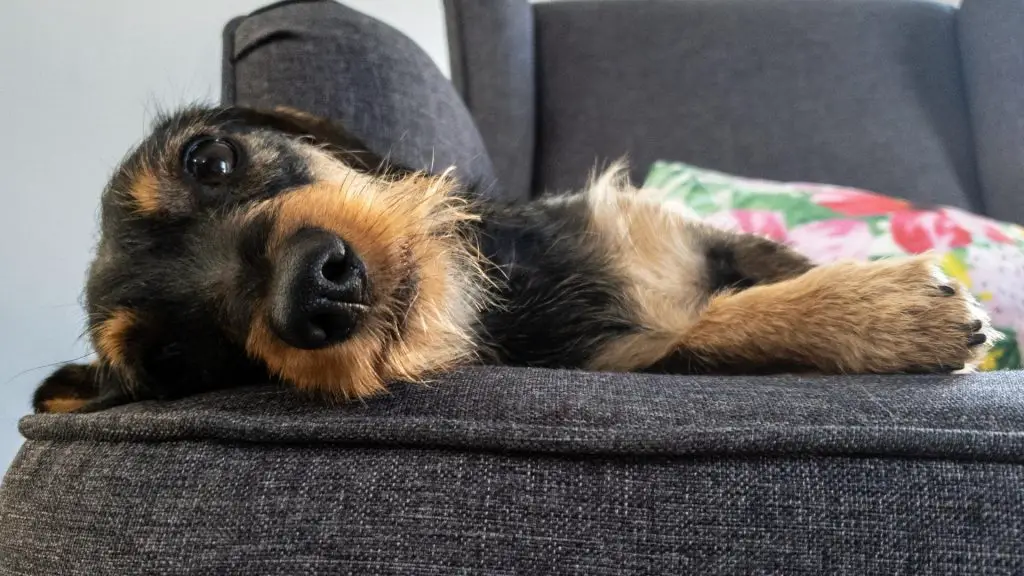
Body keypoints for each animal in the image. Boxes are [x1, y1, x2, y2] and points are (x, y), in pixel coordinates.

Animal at [29, 106, 991, 412]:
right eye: (177, 361)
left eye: (209, 160)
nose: (314, 293)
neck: (507, 289)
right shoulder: (626, 360)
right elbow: (717, 329)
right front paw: (896, 316)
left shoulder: (702, 239)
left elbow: (772, 266)